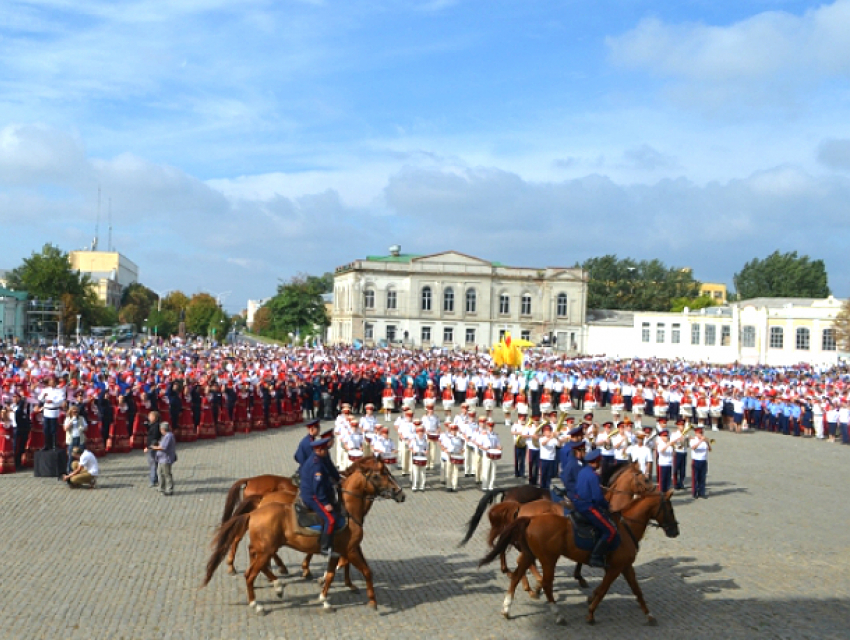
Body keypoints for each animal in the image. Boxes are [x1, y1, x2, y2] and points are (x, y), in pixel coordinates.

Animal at [205, 456, 404, 616]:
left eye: (388, 472)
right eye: (379, 475)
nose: (400, 493)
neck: (347, 509)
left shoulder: (341, 550)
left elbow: (332, 573)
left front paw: (325, 597)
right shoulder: (351, 549)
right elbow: (365, 571)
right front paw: (372, 601)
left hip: (264, 547)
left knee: (253, 558)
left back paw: (275, 582)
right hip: (266, 548)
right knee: (248, 567)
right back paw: (257, 600)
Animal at [480, 488, 680, 624]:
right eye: (670, 510)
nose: (675, 531)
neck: (626, 527)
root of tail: (530, 517)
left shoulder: (626, 567)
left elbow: (637, 591)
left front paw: (649, 615)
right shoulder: (615, 568)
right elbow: (603, 590)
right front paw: (590, 613)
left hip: (530, 555)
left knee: (516, 576)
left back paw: (507, 608)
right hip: (548, 559)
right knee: (546, 584)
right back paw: (557, 614)